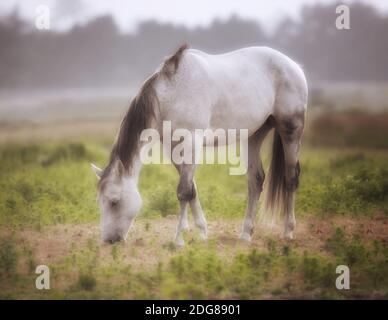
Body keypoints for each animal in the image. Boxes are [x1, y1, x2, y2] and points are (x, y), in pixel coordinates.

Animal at [90, 44, 306, 245]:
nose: (109, 240)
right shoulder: (174, 148)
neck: (172, 92)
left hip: (291, 131)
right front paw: (202, 234)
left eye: (114, 201)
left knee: (290, 178)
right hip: (253, 135)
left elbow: (184, 191)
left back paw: (288, 231)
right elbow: (191, 189)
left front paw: (178, 239)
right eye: (99, 202)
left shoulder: (191, 142)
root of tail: (294, 66)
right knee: (256, 180)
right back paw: (246, 235)